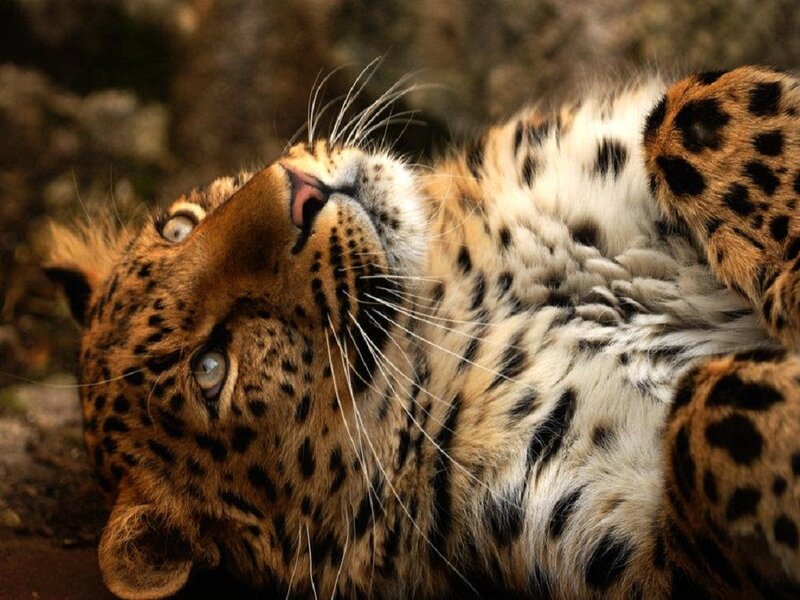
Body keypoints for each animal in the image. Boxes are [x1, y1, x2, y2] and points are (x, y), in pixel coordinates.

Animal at [44, 65, 800, 599]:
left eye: (180, 224)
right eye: (209, 369)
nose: (301, 194)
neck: (462, 293)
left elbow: (693, 110)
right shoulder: (640, 554)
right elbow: (708, 412)